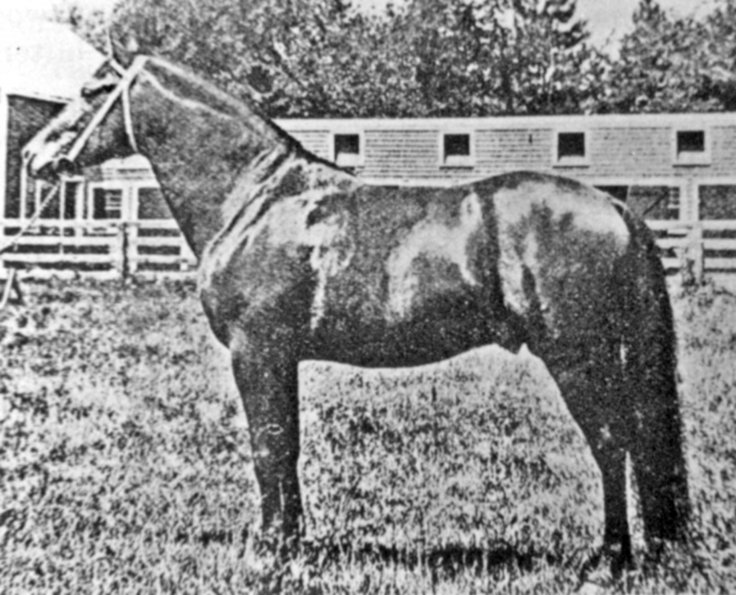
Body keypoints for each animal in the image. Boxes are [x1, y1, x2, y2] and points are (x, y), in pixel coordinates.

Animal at [23, 55, 689, 572]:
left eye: (92, 91)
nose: (32, 155)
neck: (257, 199)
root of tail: (614, 208)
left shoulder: (254, 351)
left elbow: (267, 447)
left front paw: (270, 549)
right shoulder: (280, 356)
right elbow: (286, 446)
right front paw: (293, 542)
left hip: (577, 356)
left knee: (612, 442)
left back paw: (607, 557)